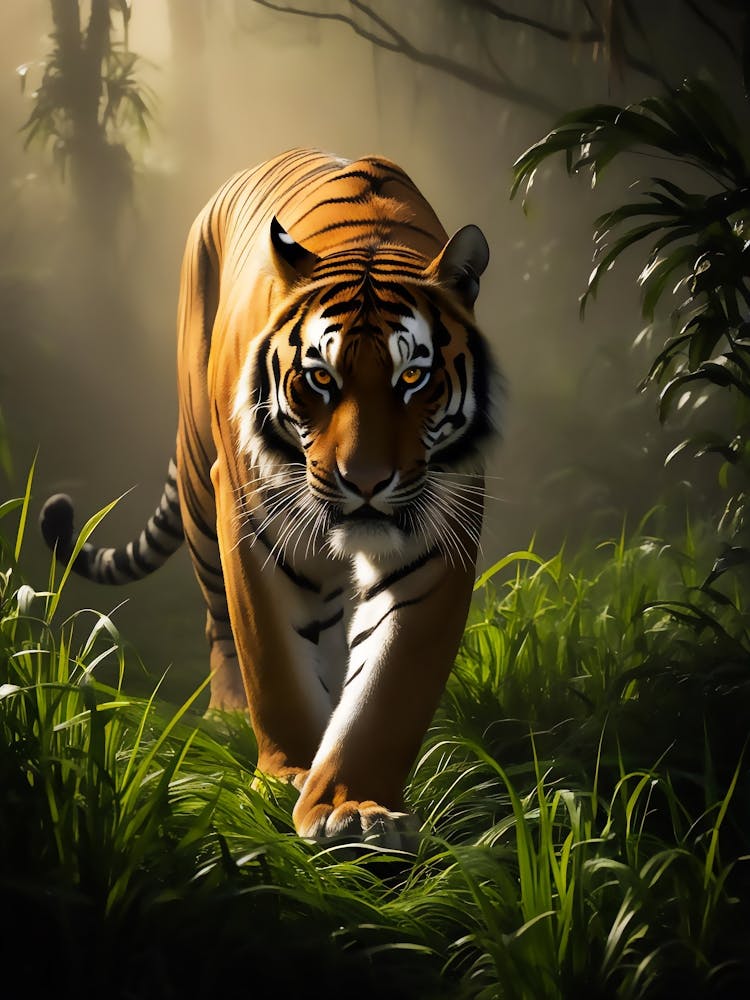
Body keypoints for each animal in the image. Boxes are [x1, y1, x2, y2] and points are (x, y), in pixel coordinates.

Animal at [40, 147, 500, 846]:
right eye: (320, 377)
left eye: (413, 377)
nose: (365, 482)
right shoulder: (253, 521)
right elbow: (274, 658)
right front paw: (286, 778)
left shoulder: (434, 543)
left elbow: (389, 683)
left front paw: (353, 806)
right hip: (201, 487)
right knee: (219, 621)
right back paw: (228, 715)